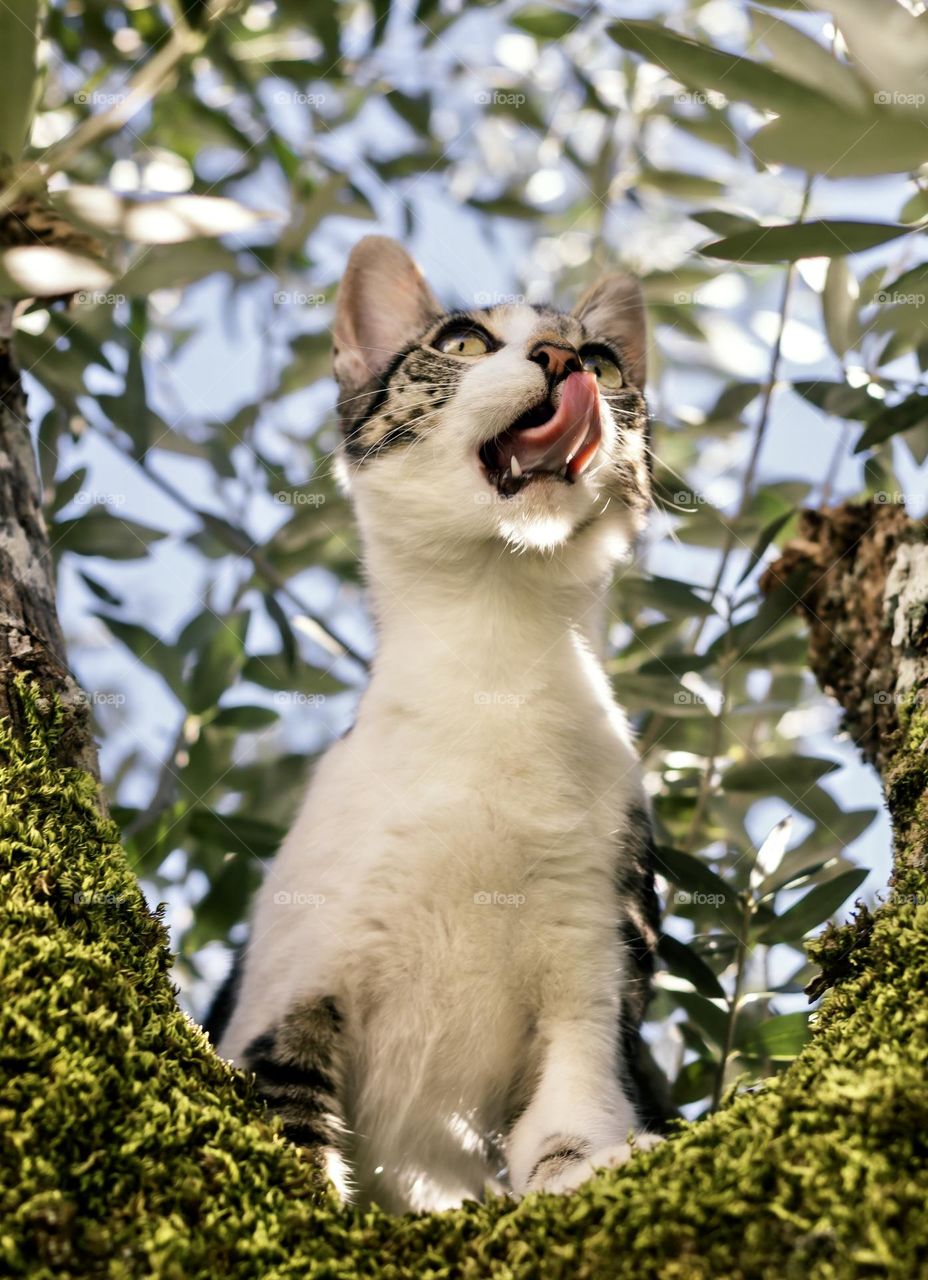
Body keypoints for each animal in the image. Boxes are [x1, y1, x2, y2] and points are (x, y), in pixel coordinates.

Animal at [209, 238, 660, 1208]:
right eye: (461, 343)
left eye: (604, 362)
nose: (564, 361)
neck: (495, 665)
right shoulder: (292, 980)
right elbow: (287, 1110)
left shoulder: (596, 961)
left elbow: (573, 1110)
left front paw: (591, 1167)